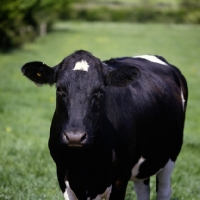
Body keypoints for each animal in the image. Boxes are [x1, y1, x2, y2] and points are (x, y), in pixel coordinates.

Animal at [21, 50, 188, 200]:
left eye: (100, 90)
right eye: (59, 88)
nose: (75, 137)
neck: (83, 162)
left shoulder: (120, 177)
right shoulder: (63, 175)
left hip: (171, 155)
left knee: (164, 191)